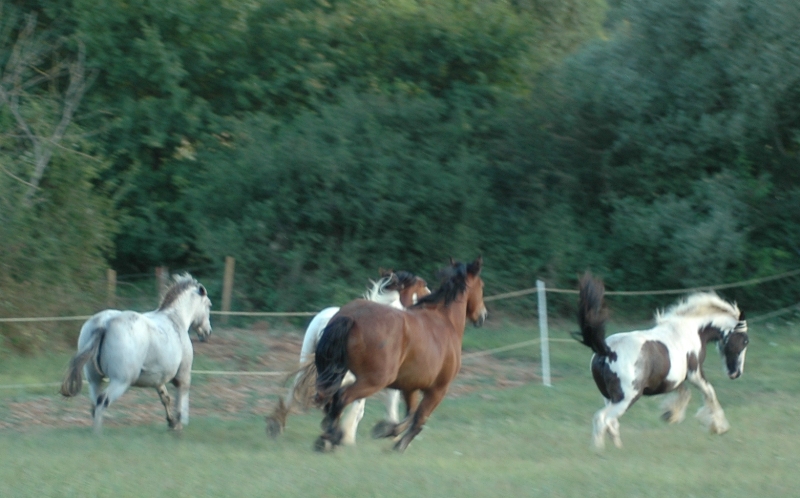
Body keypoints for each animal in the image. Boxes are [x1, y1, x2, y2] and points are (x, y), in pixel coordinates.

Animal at [61, 274, 211, 434]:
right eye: (209, 305)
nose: (207, 332)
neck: (175, 320)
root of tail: (104, 322)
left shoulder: (158, 379)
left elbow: (165, 398)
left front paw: (171, 423)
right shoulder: (183, 375)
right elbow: (181, 401)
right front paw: (178, 426)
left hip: (94, 380)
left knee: (94, 405)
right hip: (120, 381)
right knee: (102, 402)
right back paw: (97, 435)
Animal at [312, 258, 488, 454]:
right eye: (481, 286)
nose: (482, 315)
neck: (445, 321)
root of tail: (351, 317)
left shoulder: (410, 386)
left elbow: (409, 414)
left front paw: (386, 430)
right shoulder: (438, 389)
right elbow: (419, 418)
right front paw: (399, 444)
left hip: (338, 373)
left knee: (330, 399)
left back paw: (327, 438)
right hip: (374, 380)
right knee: (341, 398)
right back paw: (332, 437)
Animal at [576, 272, 752, 452]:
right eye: (745, 341)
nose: (736, 373)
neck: (692, 330)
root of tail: (607, 351)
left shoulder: (673, 379)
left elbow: (685, 393)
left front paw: (670, 415)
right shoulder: (694, 373)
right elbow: (710, 392)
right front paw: (719, 427)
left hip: (608, 397)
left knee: (611, 423)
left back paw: (618, 449)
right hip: (626, 398)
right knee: (602, 419)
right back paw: (599, 452)